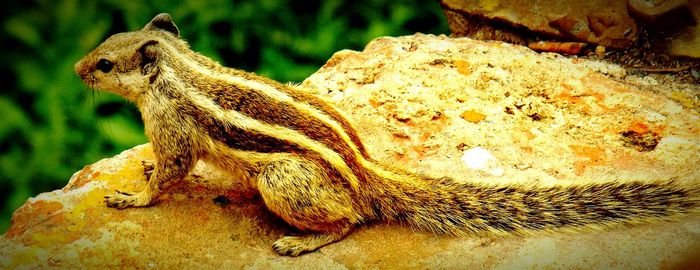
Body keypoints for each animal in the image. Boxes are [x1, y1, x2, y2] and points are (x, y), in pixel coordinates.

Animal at [75, 13, 700, 258]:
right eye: (102, 44)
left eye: (105, 63)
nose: (78, 69)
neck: (176, 69)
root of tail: (367, 173)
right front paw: (141, 171)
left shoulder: (174, 128)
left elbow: (170, 173)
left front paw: (134, 194)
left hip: (282, 181)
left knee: (351, 219)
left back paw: (301, 242)